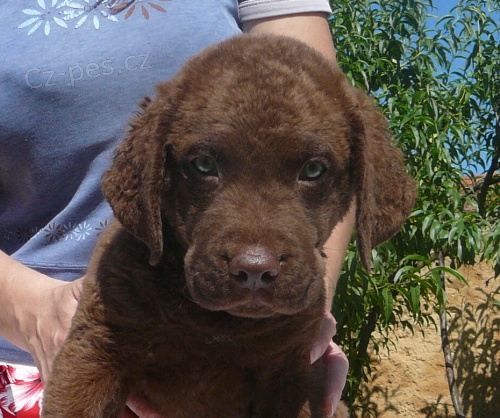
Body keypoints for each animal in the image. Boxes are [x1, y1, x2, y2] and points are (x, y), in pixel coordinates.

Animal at [41, 34, 416, 416]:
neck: (221, 326)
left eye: (313, 170)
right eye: (204, 165)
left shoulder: (295, 369)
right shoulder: (96, 346)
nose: (254, 270)